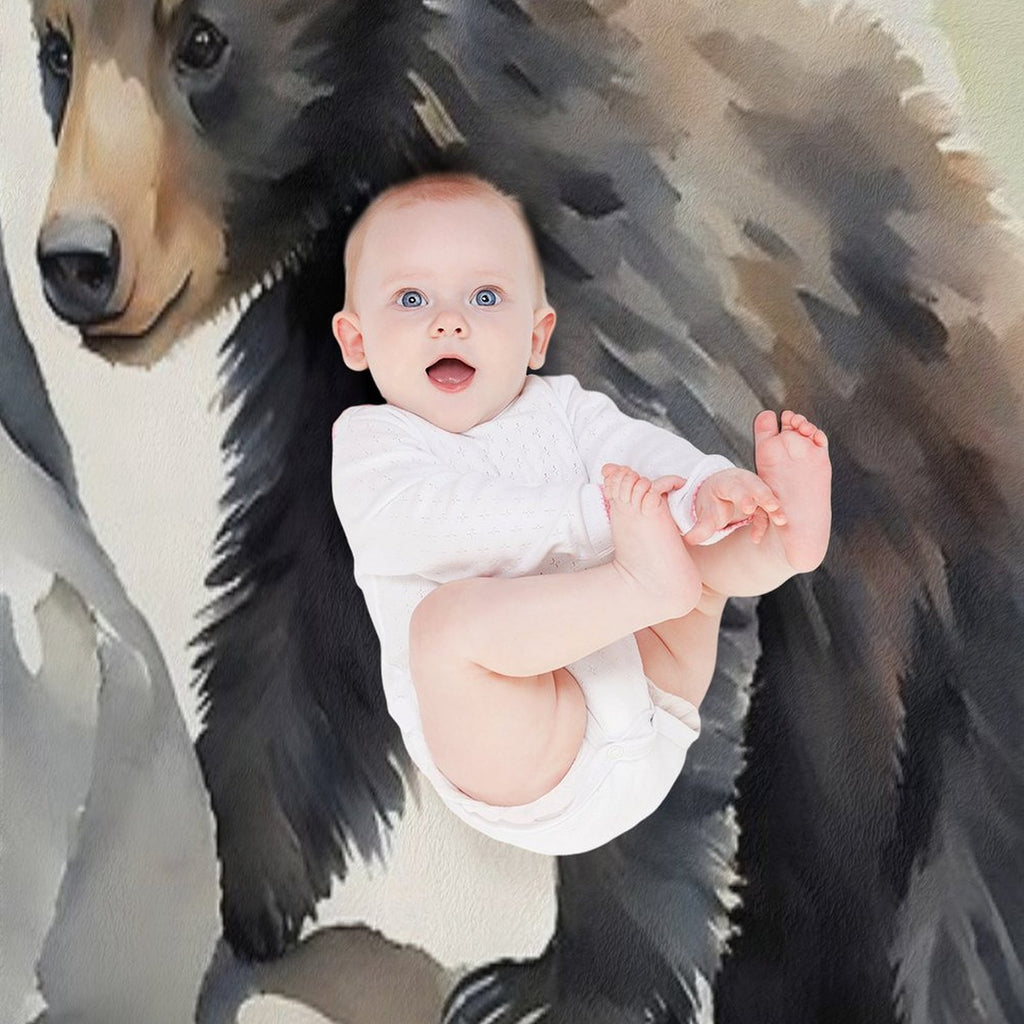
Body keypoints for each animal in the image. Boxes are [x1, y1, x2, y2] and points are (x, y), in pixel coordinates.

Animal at [13, 0, 1024, 1021]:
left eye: (204, 42)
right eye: (57, 51)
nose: (77, 261)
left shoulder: (629, 249)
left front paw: (566, 988)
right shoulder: (333, 339)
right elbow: (305, 601)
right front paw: (220, 880)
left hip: (962, 614)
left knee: (961, 895)